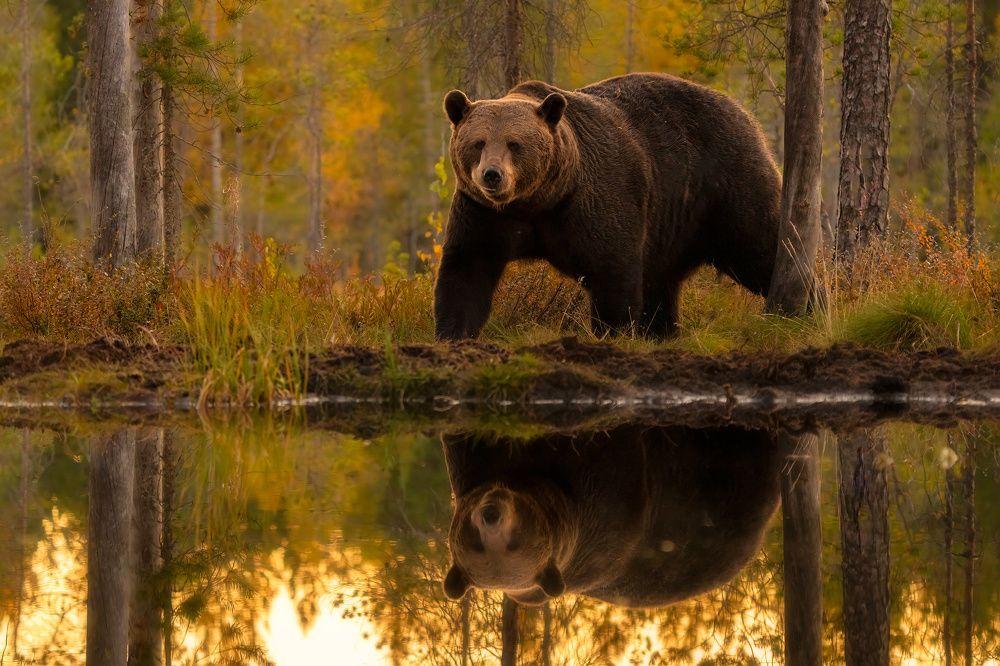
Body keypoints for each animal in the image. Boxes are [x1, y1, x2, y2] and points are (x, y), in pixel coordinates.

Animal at [434, 72, 782, 340]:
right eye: (478, 143)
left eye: (514, 144)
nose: (493, 175)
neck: (539, 200)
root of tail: (741, 111)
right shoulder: (484, 213)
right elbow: (467, 267)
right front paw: (453, 332)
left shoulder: (594, 202)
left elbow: (613, 267)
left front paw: (613, 331)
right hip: (670, 225)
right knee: (661, 281)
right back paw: (661, 332)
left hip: (726, 183)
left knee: (760, 244)